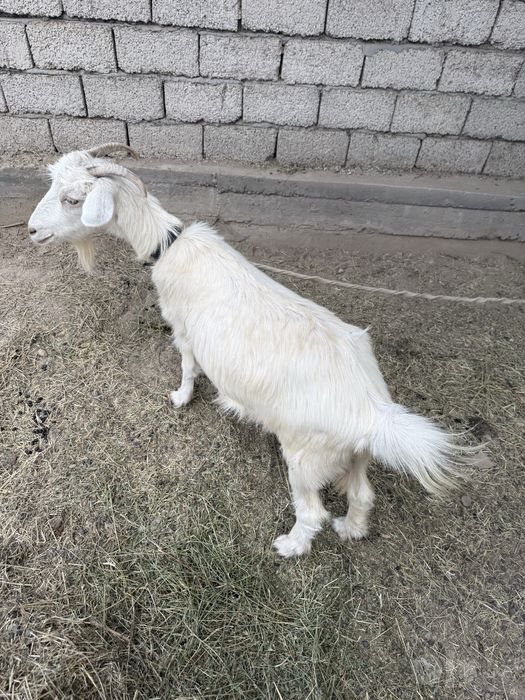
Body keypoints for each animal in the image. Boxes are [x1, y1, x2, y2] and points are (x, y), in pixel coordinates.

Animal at [28, 144, 468, 557]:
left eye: (73, 199)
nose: (32, 231)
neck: (167, 245)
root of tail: (371, 410)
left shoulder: (184, 331)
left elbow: (188, 367)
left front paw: (180, 398)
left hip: (306, 455)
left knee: (312, 512)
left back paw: (291, 546)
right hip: (355, 454)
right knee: (362, 494)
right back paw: (351, 529)